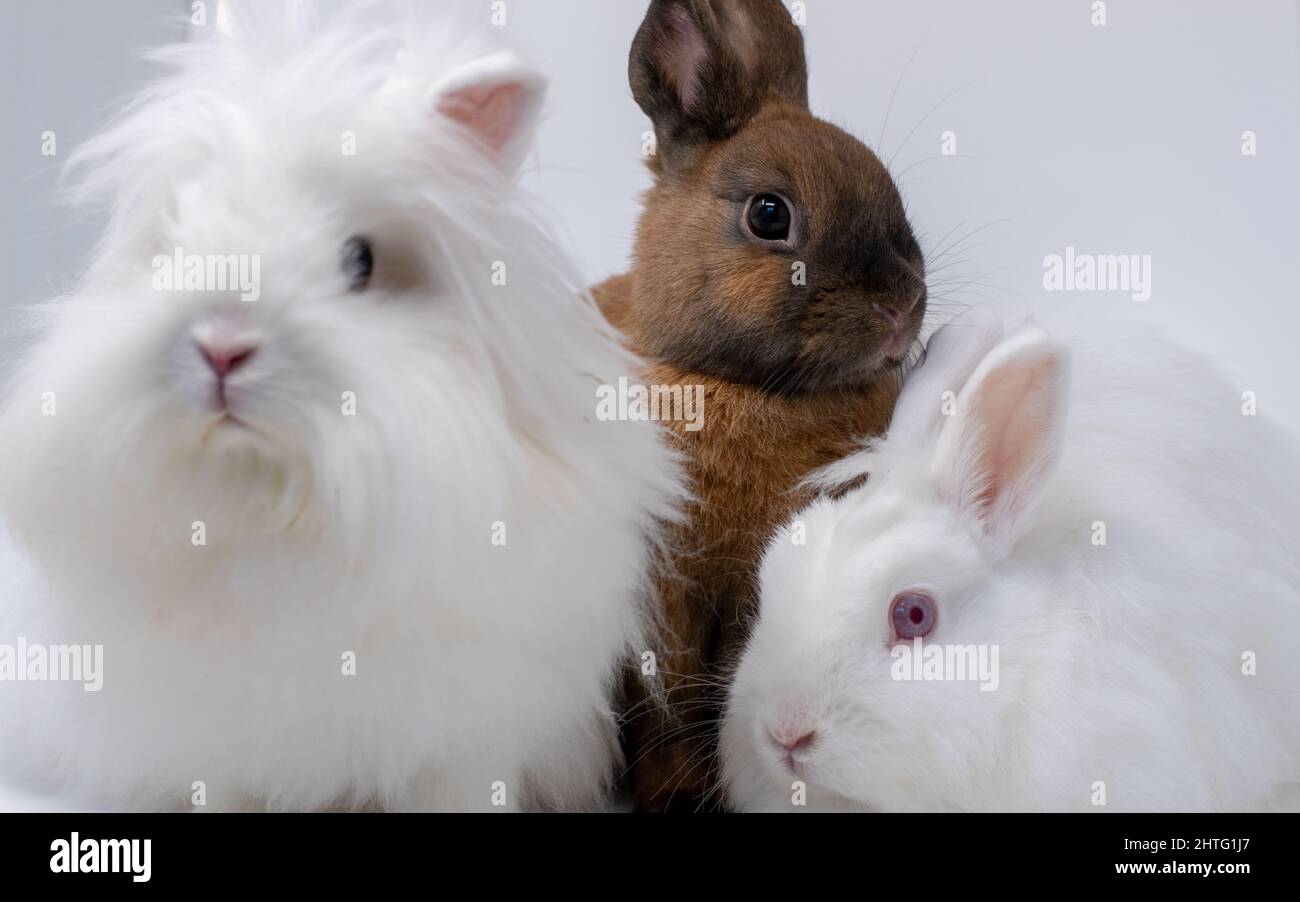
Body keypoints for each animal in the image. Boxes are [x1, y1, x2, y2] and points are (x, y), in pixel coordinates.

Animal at [0, 2, 684, 812]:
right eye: (174, 241)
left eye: (358, 261)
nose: (220, 347)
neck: (278, 498)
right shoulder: (215, 740)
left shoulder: (464, 729)